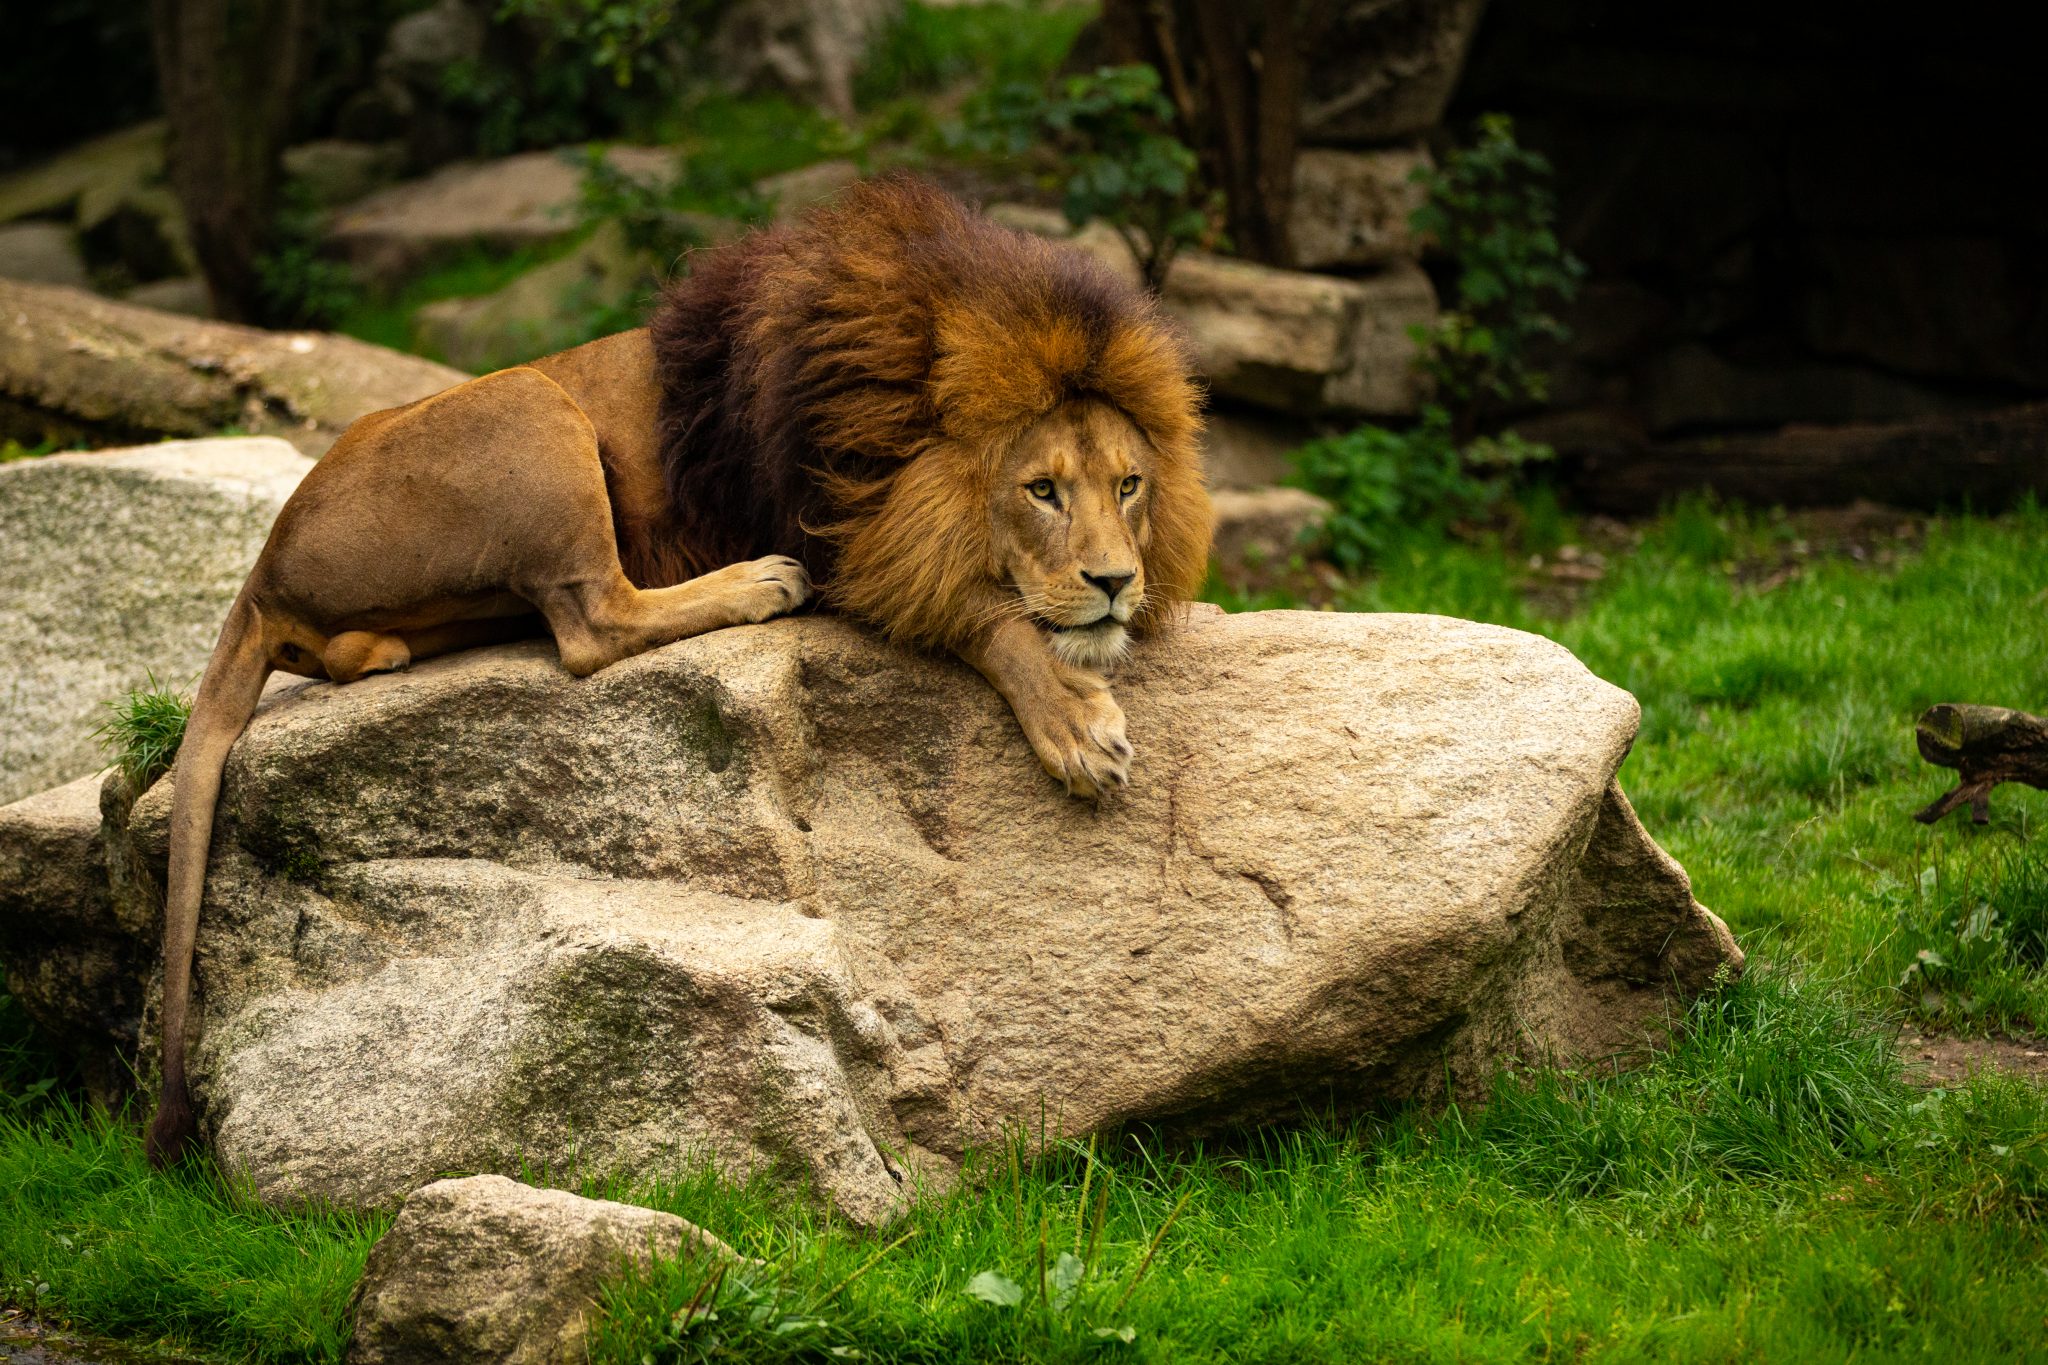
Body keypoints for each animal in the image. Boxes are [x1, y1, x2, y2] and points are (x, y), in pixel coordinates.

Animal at [155, 173, 1212, 1162]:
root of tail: (263, 566)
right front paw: (1074, 721)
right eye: (1041, 490)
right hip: (532, 399)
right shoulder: (853, 537)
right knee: (590, 622)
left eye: (1129, 484)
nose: (1116, 581)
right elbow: (992, 617)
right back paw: (757, 583)